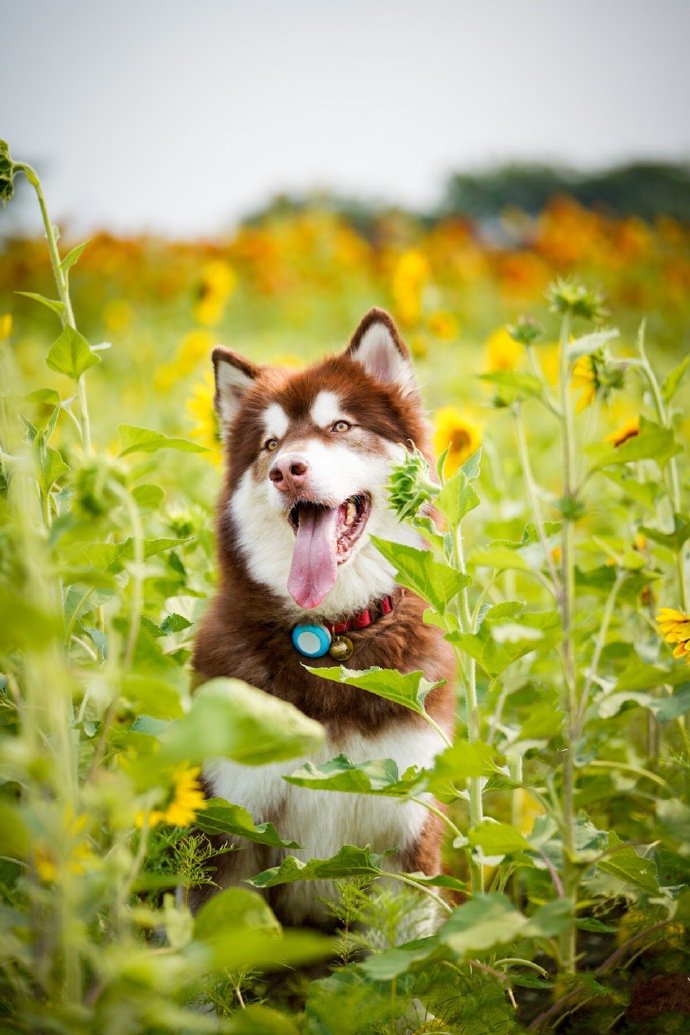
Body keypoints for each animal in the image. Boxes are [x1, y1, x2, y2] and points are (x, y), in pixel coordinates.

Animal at [191, 308, 455, 931]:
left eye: (339, 426)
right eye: (270, 443)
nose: (287, 469)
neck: (331, 639)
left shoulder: (407, 840)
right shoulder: (232, 829)